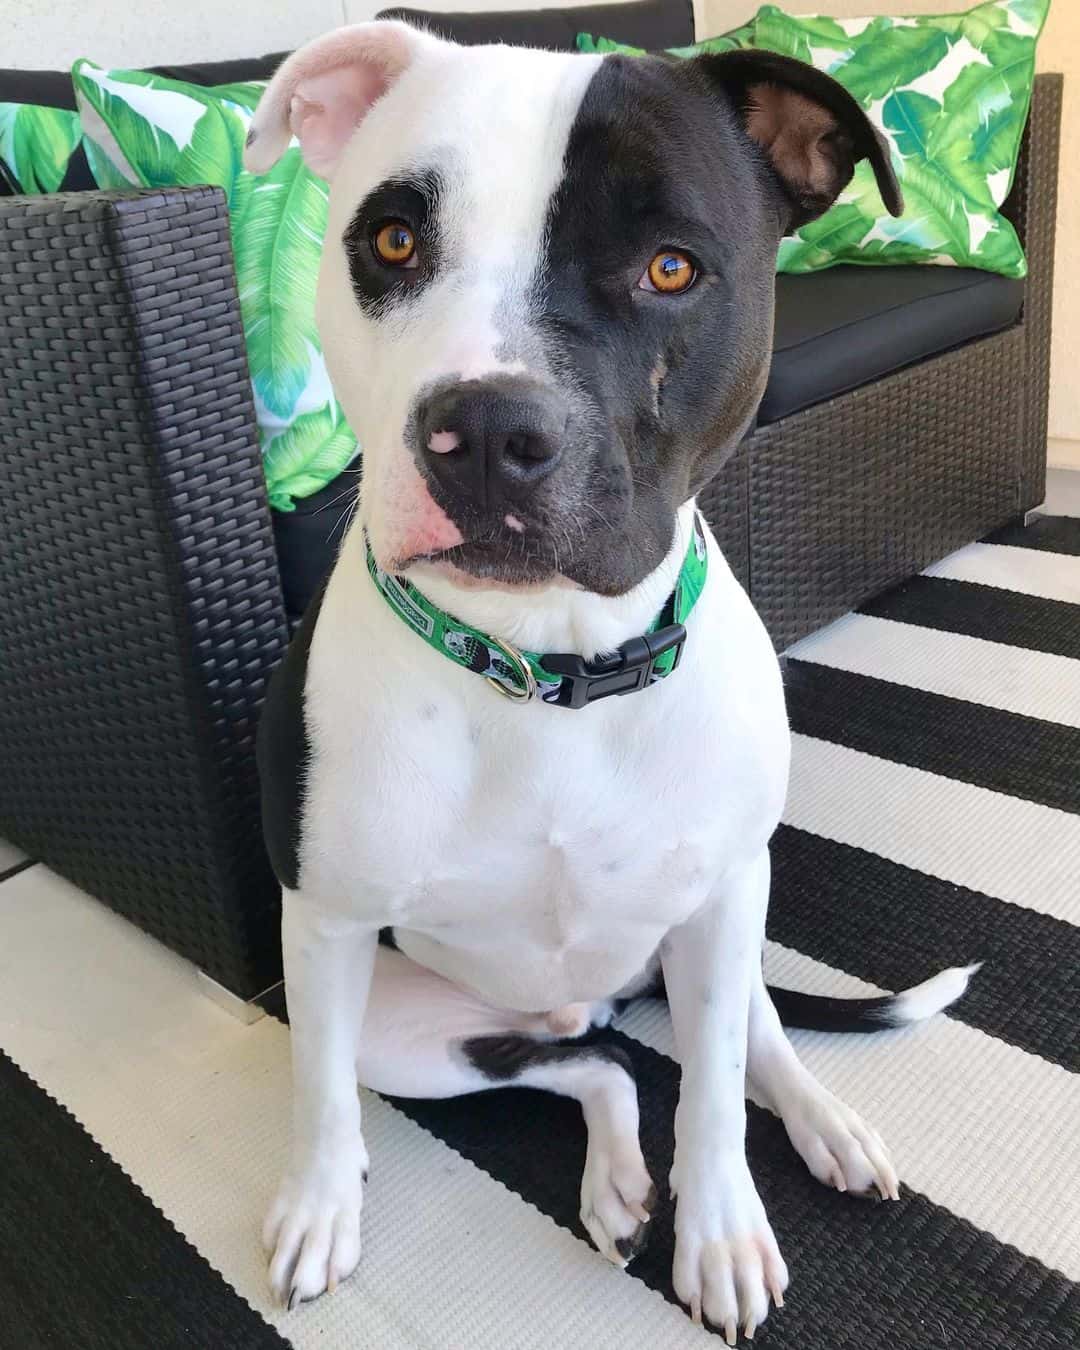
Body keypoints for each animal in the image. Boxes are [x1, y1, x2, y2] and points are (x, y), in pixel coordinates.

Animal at [247, 26, 977, 1344]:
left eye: (671, 267)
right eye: (394, 240)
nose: (487, 432)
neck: (549, 666)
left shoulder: (725, 895)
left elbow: (717, 1098)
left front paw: (722, 1233)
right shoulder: (322, 926)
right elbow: (318, 1095)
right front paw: (319, 1208)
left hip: (716, 932)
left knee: (745, 1043)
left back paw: (821, 1126)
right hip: (411, 1027)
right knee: (595, 1070)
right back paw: (614, 1175)